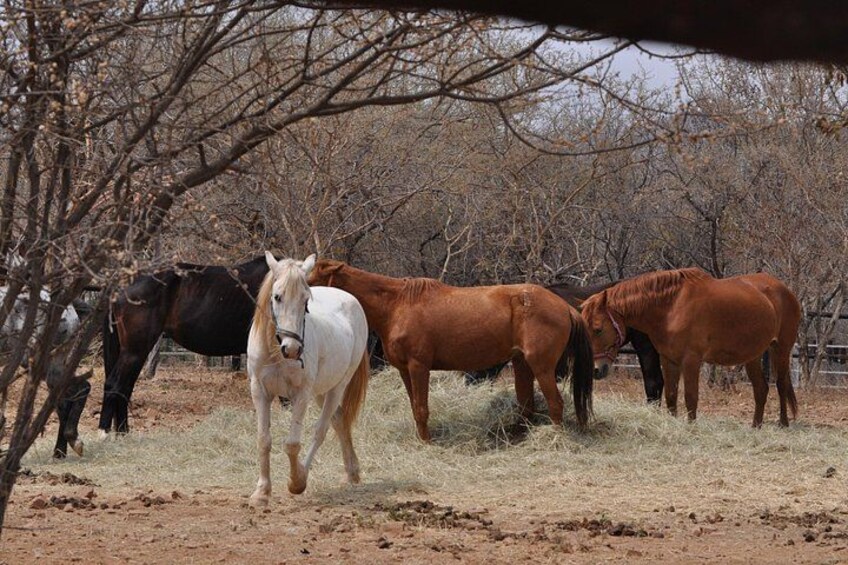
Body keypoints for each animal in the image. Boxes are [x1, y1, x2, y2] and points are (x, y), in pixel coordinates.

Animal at [248, 253, 369, 503]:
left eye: (306, 301)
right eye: (277, 297)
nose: (293, 349)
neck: (276, 352)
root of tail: (350, 299)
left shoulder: (301, 395)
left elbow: (293, 444)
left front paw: (296, 482)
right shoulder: (259, 391)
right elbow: (264, 440)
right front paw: (262, 492)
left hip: (337, 387)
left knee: (321, 429)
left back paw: (307, 473)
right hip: (321, 390)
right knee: (339, 420)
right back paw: (351, 473)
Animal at [308, 260, 594, 442]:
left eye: (311, 281)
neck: (397, 305)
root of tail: (566, 307)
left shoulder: (418, 367)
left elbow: (421, 408)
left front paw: (427, 443)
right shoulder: (404, 370)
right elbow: (414, 406)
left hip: (541, 366)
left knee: (555, 403)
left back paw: (554, 439)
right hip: (522, 364)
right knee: (526, 405)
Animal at [582, 268, 800, 427]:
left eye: (598, 329)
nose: (595, 370)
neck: (672, 306)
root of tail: (785, 290)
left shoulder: (691, 361)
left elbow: (690, 397)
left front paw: (691, 427)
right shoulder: (668, 359)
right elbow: (671, 396)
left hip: (781, 349)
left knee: (780, 385)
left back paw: (783, 423)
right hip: (752, 356)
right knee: (761, 388)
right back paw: (756, 426)